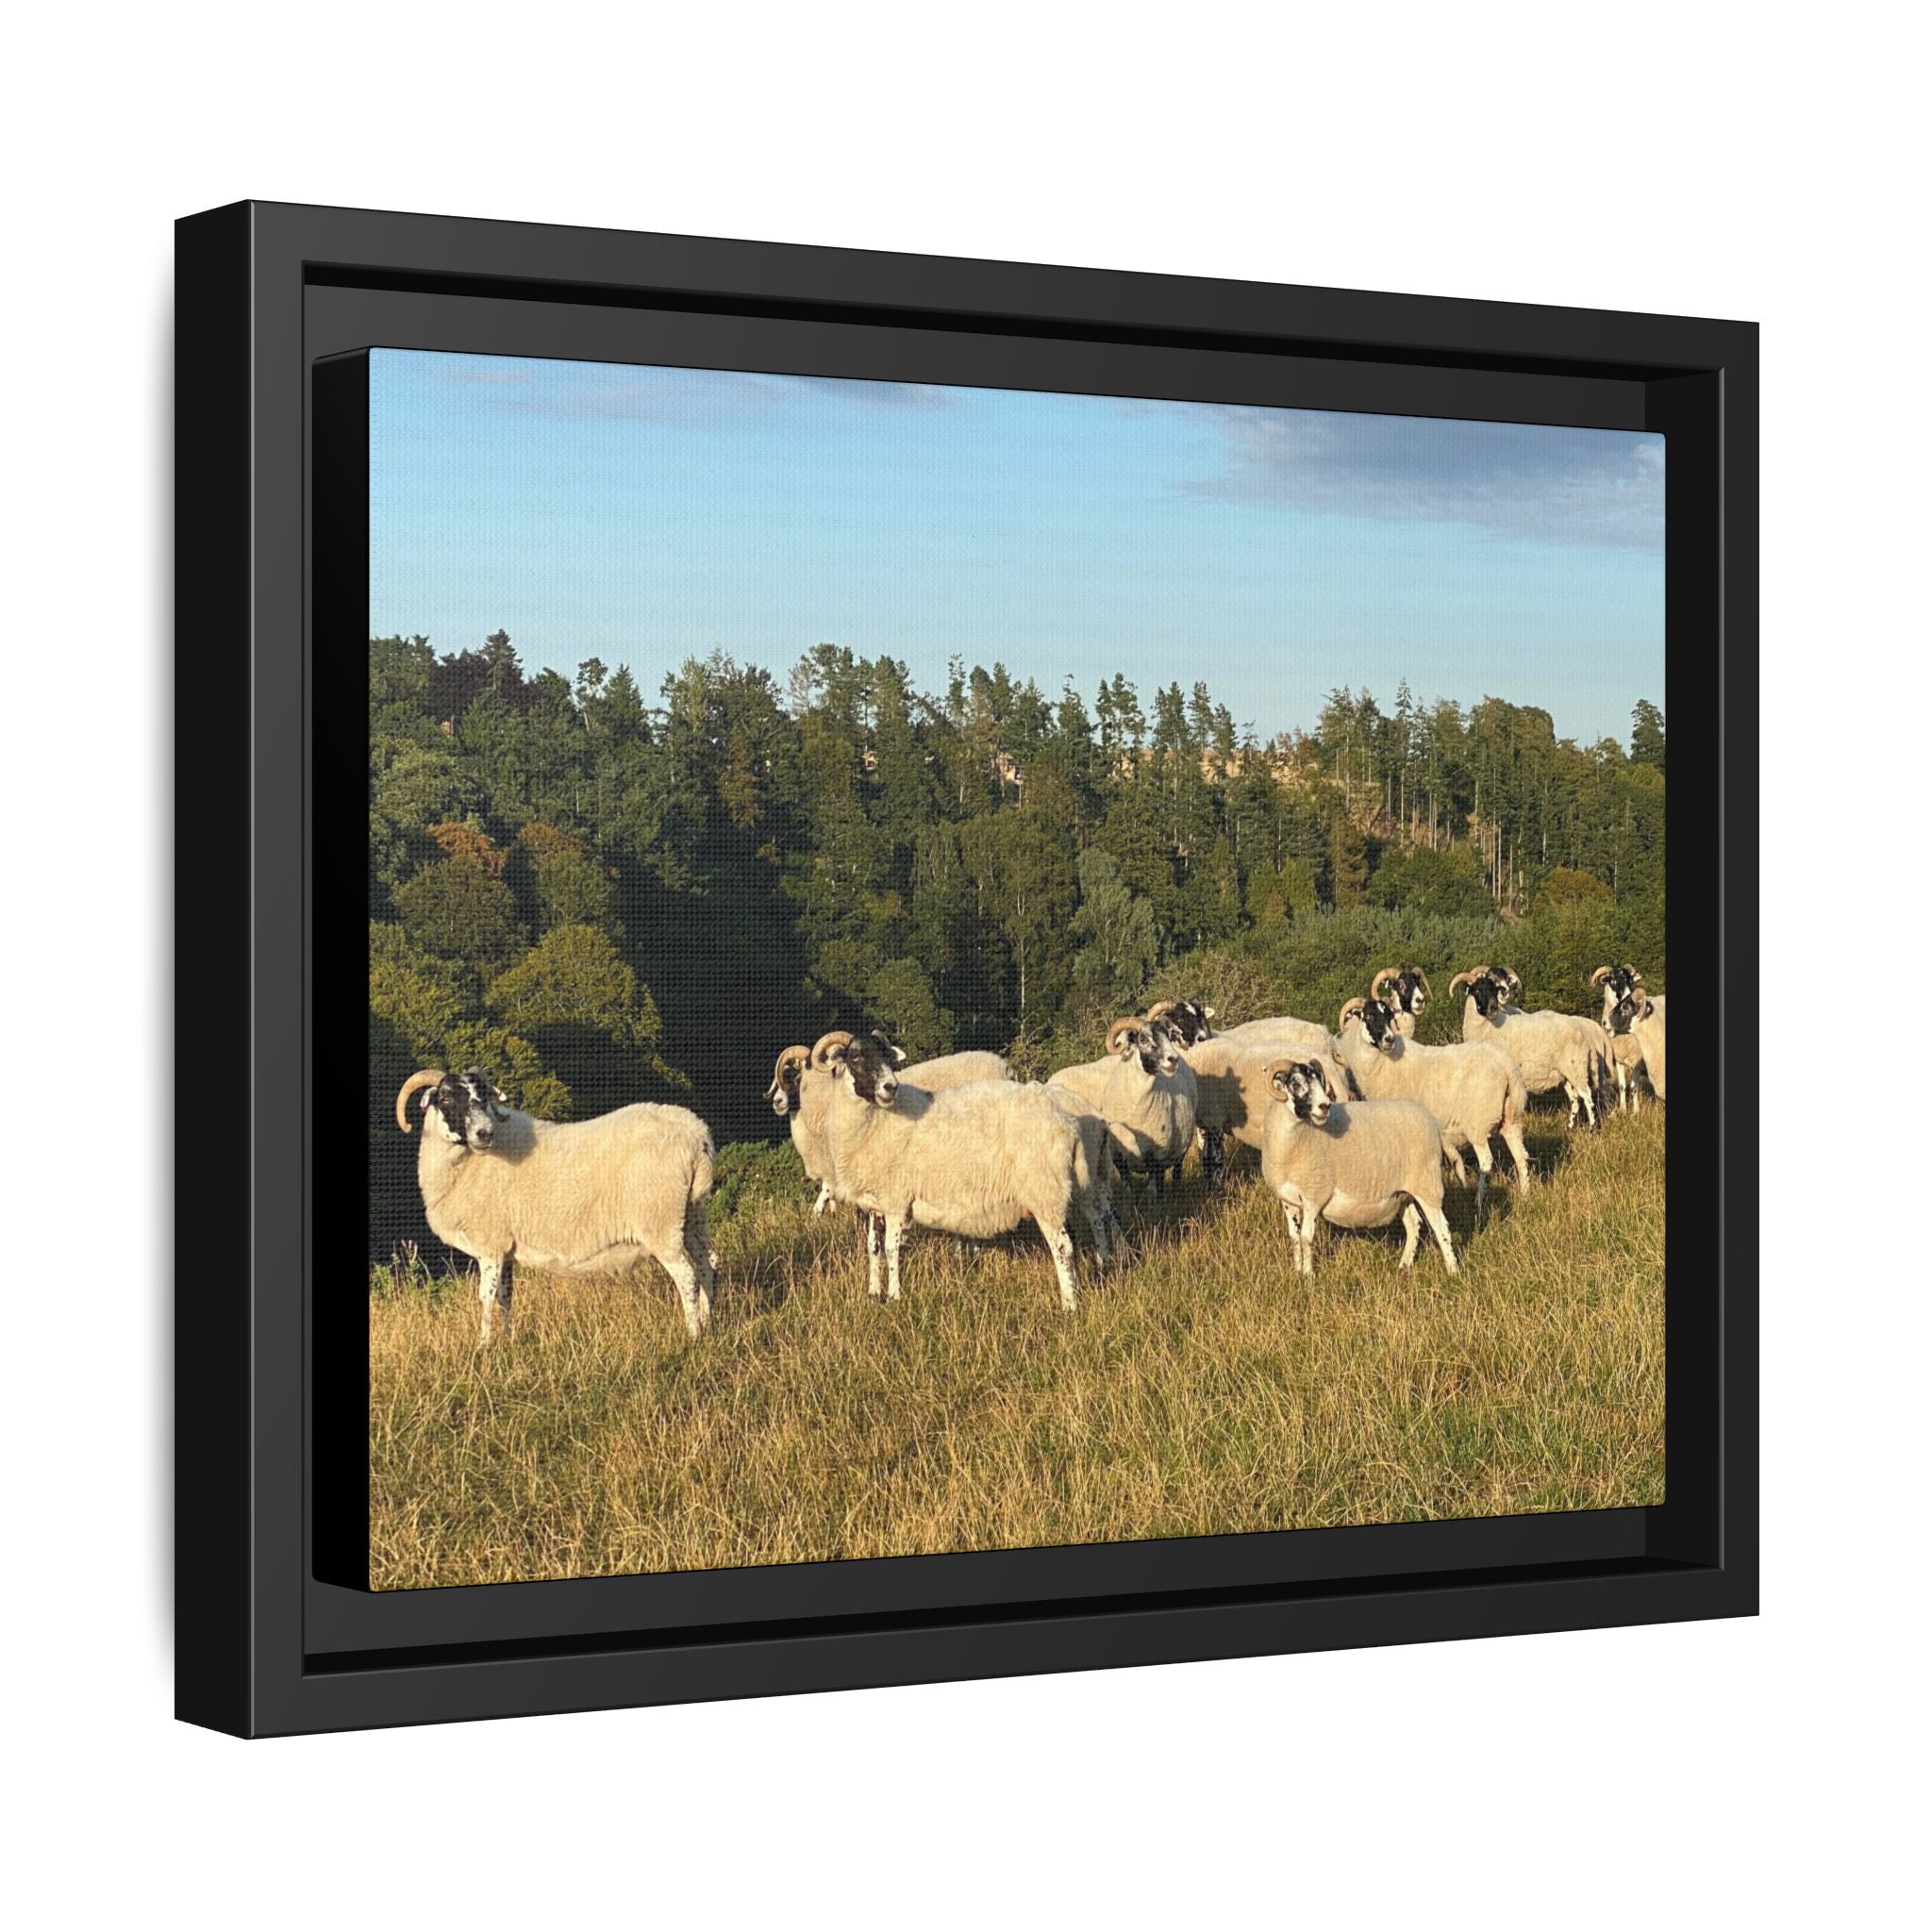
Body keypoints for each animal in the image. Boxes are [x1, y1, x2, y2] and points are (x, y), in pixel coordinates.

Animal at [395, 1068, 716, 1342]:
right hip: (692, 1216)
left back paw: (692, 1336)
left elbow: (485, 1297)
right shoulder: (505, 1247)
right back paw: (709, 1325)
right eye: (446, 1097)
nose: (485, 1133)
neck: (467, 1164)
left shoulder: (490, 1244)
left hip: (660, 1222)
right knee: (708, 1267)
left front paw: (484, 1346)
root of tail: (697, 1134)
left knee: (688, 1278)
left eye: (484, 1098)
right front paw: (507, 1341)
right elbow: (505, 1296)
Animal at [815, 1030, 1104, 1310]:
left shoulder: (896, 1200)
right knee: (1091, 1222)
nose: (890, 1086)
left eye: (888, 1057)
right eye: (855, 1056)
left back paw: (1070, 1304)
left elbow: (890, 1250)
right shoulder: (876, 1203)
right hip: (1075, 1187)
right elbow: (873, 1248)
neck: (876, 1122)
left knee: (1063, 1246)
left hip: (1045, 1192)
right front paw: (873, 1293)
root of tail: (1066, 1123)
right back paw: (1097, 1273)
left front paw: (895, 1296)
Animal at [1259, 1057, 1459, 1275]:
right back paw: (1403, 1267)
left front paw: (1309, 1275)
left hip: (1427, 1184)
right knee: (1414, 1224)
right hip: (1402, 1193)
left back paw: (1453, 1271)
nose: (1324, 1106)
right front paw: (1297, 1273)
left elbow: (1305, 1238)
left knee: (1442, 1227)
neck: (1298, 1137)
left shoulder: (1314, 1195)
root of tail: (1434, 1123)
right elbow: (1294, 1238)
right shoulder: (1288, 1200)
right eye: (1295, 1084)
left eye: (1320, 1081)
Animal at [1332, 996, 1529, 1214]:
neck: (1383, 1062)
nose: (1389, 1039)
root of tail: (1507, 1067)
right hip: (1511, 1117)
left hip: (1479, 1122)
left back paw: (1479, 1202)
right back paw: (1525, 1195)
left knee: (1486, 1161)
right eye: (1369, 1016)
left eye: (1389, 1015)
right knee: (1521, 1156)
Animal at [1448, 965, 1611, 1129]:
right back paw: (1570, 1127)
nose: (1493, 1007)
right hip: (1567, 1072)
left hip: (1577, 1068)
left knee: (1588, 1096)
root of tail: (1584, 1034)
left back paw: (1593, 1128)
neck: (1489, 1026)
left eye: (1494, 989)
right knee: (1576, 1098)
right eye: (1477, 990)